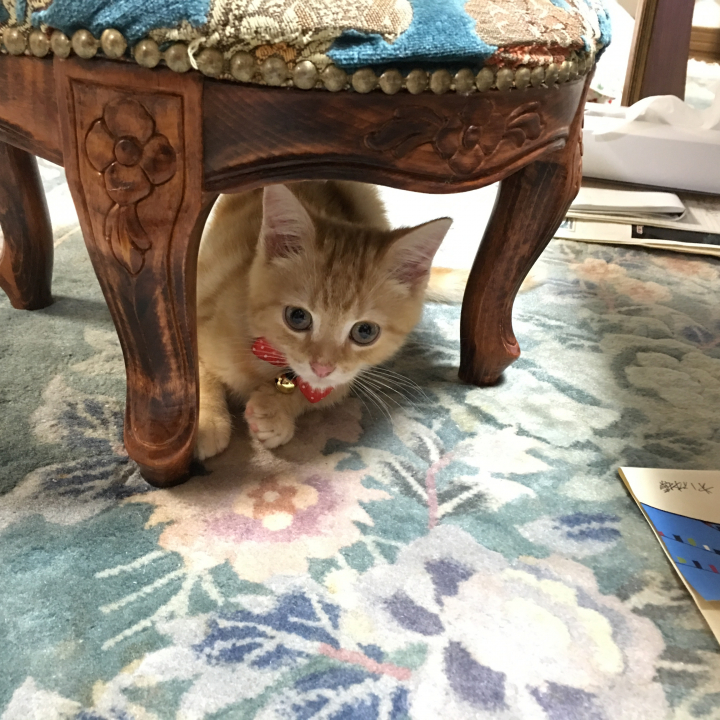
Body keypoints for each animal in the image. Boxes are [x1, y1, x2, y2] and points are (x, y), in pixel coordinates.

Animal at [195, 180, 454, 460]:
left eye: (365, 332)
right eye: (297, 317)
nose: (322, 367)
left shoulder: (345, 378)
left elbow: (324, 391)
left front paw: (275, 411)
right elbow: (196, 375)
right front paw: (205, 422)